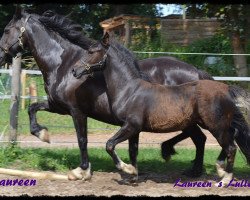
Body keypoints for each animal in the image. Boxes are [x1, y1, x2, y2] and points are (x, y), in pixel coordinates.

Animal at [0, 7, 219, 180]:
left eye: (6, 30)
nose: (1, 55)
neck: (64, 64)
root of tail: (196, 72)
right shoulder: (57, 106)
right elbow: (32, 108)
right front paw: (43, 134)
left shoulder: (76, 111)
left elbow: (82, 140)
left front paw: (82, 171)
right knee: (199, 138)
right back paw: (188, 167)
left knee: (198, 137)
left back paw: (178, 158)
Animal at [72, 32, 250, 186]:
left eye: (91, 52)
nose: (74, 70)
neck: (129, 90)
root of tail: (227, 88)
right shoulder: (133, 129)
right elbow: (132, 150)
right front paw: (133, 176)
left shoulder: (131, 126)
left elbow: (109, 145)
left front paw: (126, 169)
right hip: (212, 124)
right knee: (232, 136)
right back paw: (217, 168)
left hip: (214, 125)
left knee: (230, 146)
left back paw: (224, 178)